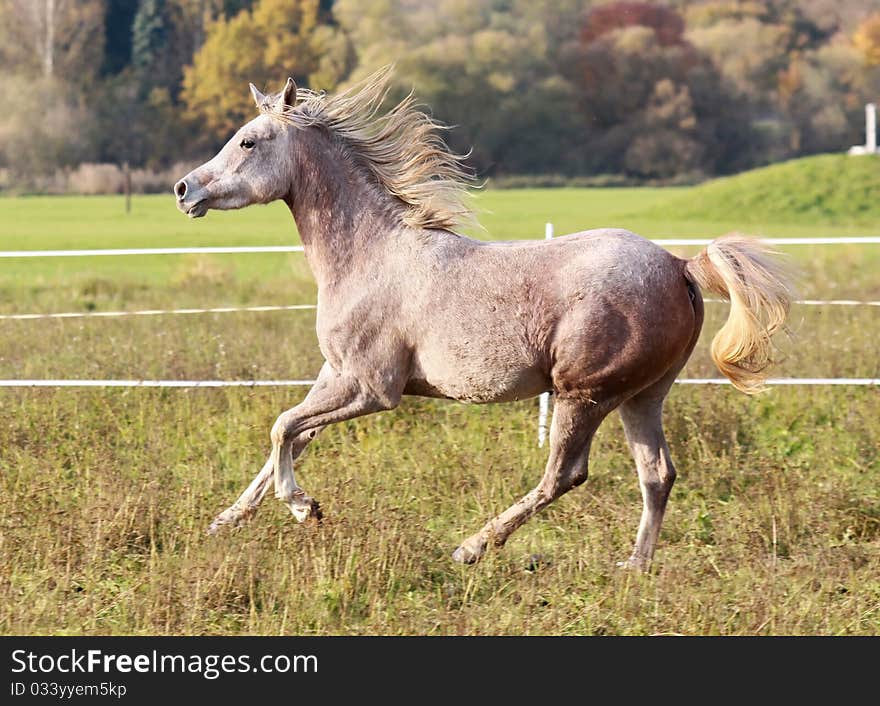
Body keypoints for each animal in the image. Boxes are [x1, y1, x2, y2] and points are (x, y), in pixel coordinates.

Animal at [175, 67, 796, 568]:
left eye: (248, 141)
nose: (184, 189)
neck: (370, 255)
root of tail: (679, 266)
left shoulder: (373, 389)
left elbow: (282, 427)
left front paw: (305, 508)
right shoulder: (336, 375)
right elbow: (289, 438)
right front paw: (225, 521)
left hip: (584, 395)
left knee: (564, 475)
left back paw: (472, 548)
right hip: (643, 396)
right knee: (657, 474)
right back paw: (634, 567)